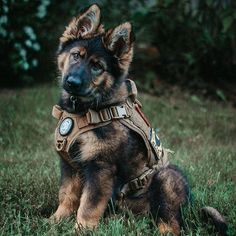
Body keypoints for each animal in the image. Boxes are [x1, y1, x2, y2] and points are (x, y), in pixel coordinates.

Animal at [49, 4, 227, 236]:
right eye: (76, 56)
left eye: (97, 67)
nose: (72, 82)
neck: (87, 110)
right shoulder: (69, 165)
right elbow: (67, 195)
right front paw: (56, 221)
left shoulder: (100, 168)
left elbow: (88, 204)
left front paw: (81, 229)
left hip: (167, 178)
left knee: (171, 223)